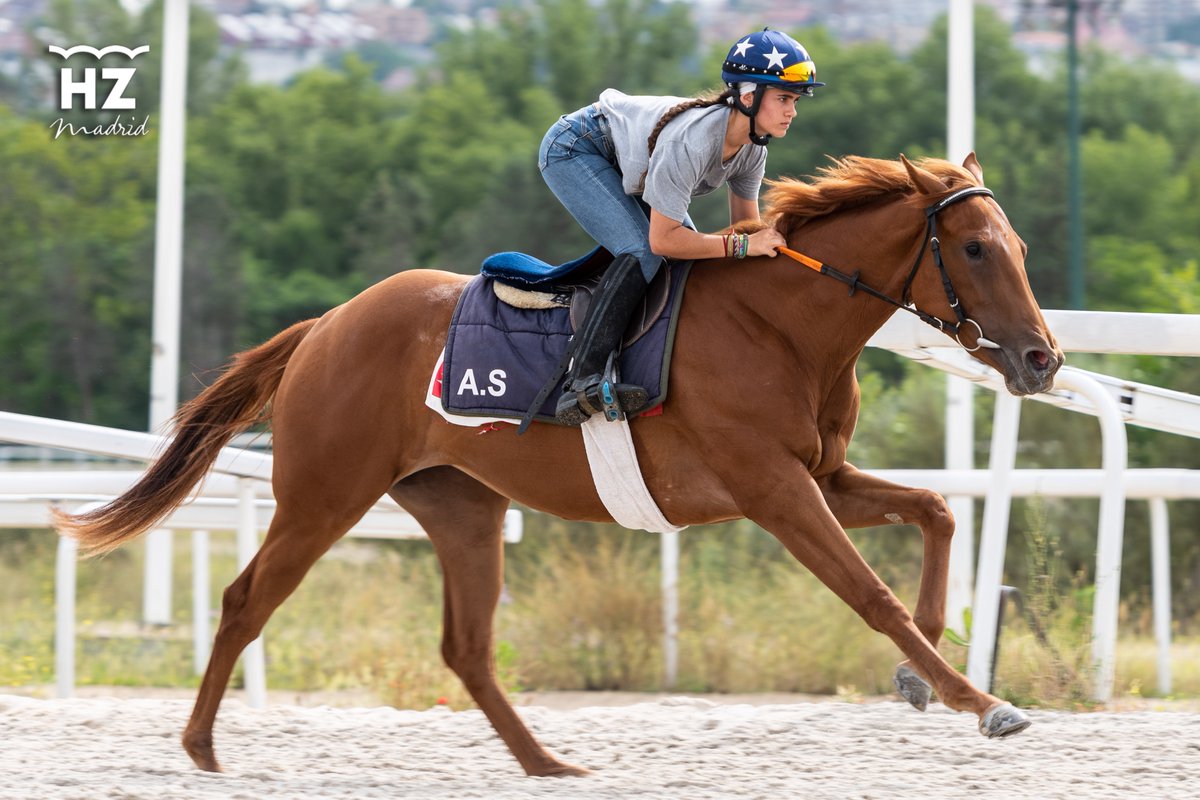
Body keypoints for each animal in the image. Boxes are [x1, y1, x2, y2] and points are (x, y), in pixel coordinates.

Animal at [55, 153, 1062, 777]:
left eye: (1019, 247)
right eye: (975, 248)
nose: (1042, 359)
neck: (781, 324)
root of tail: (325, 325)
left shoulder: (821, 479)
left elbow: (935, 510)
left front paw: (920, 676)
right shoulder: (772, 490)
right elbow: (872, 594)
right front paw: (981, 700)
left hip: (462, 508)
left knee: (465, 646)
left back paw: (546, 762)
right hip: (323, 495)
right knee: (244, 601)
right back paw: (199, 748)